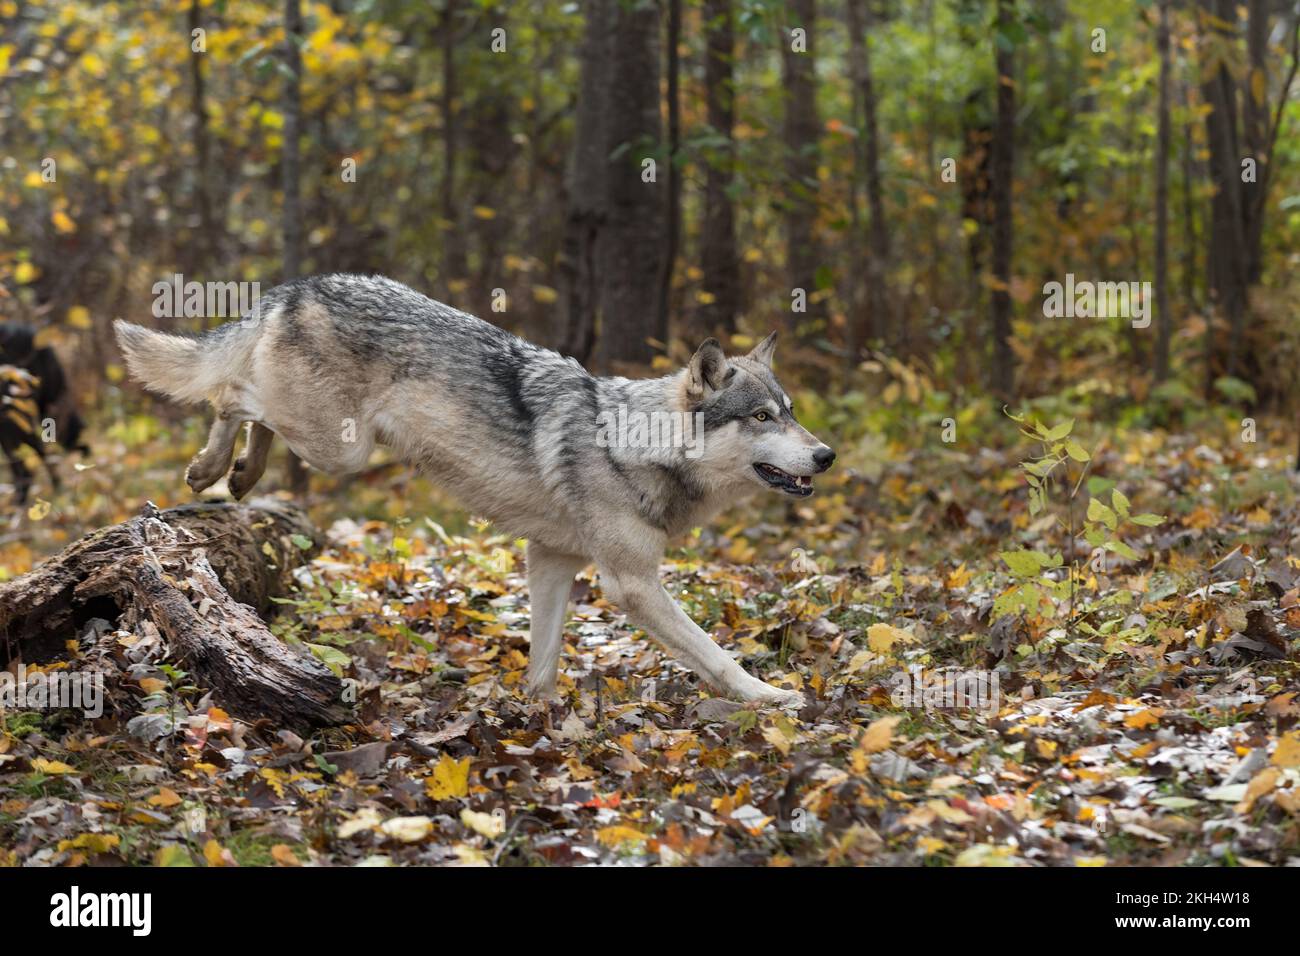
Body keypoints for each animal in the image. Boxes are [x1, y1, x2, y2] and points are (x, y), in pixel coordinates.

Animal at [114, 274, 835, 706]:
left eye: (791, 412)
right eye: (761, 418)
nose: (826, 455)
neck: (631, 444)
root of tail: (297, 285)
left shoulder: (551, 563)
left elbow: (544, 659)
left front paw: (539, 718)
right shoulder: (630, 586)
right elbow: (713, 654)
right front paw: (770, 699)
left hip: (332, 446)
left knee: (245, 409)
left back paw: (238, 475)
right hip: (339, 449)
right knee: (231, 395)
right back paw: (211, 469)